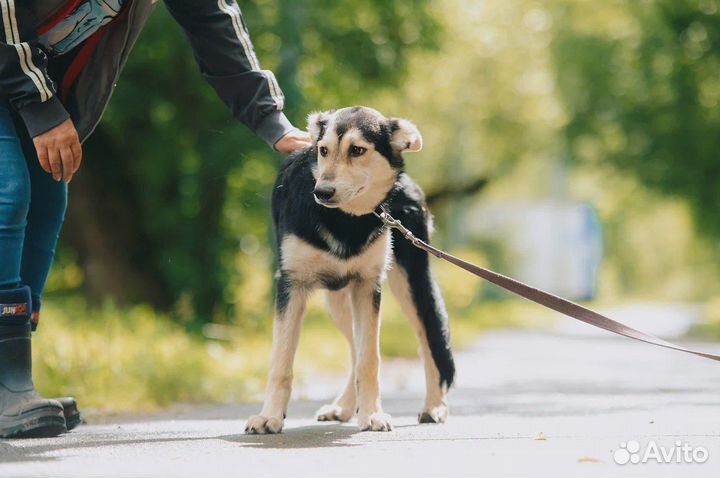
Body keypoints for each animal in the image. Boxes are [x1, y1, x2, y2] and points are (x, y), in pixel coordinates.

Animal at [245, 106, 452, 436]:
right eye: (323, 150)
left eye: (357, 150)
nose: (322, 192)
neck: (346, 219)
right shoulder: (292, 285)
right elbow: (281, 361)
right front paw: (270, 417)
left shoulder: (369, 285)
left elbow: (370, 360)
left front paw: (372, 414)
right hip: (339, 299)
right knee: (355, 348)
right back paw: (343, 407)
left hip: (411, 283)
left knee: (428, 339)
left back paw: (434, 406)